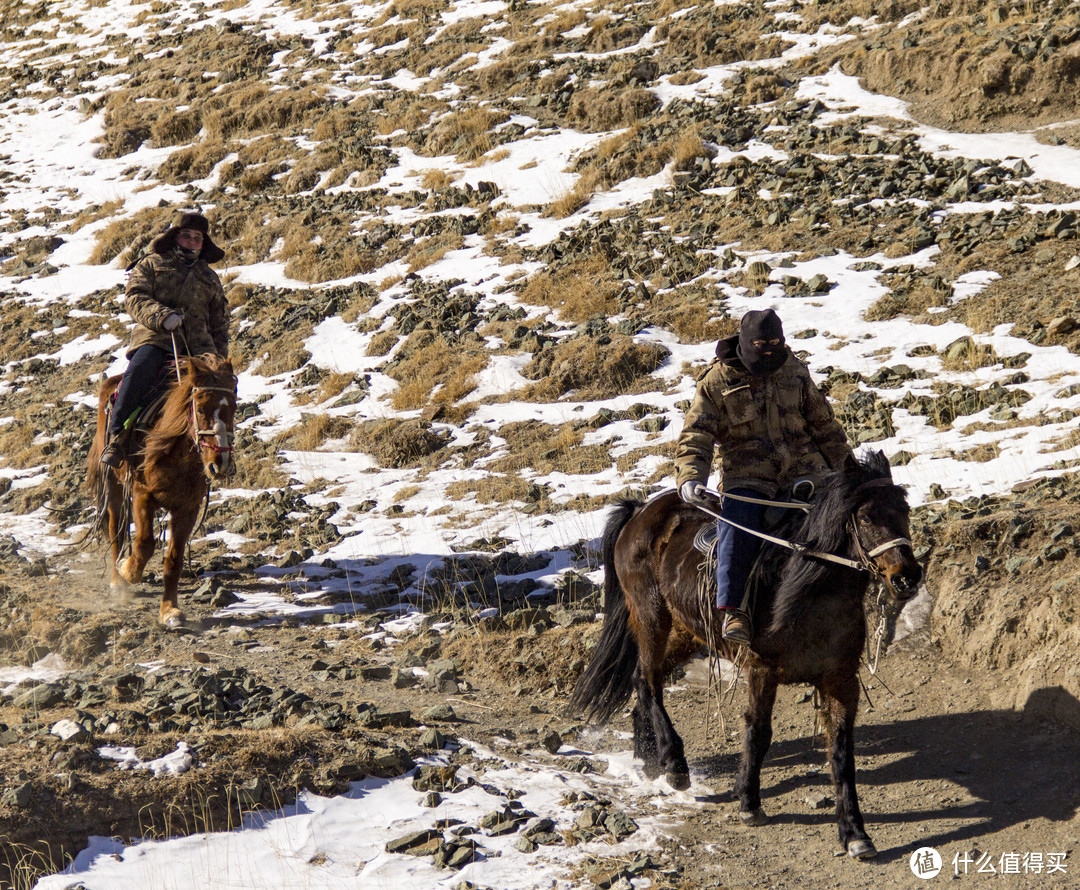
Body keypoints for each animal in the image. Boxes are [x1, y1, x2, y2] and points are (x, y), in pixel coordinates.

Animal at [86, 352, 236, 626]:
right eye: (200, 408)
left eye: (234, 407)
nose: (220, 463)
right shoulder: (142, 496)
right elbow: (145, 543)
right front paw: (128, 571)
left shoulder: (187, 509)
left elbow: (174, 560)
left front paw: (170, 611)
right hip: (113, 484)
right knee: (116, 529)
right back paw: (117, 579)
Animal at [570, 455, 924, 859]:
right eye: (864, 516)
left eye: (904, 510)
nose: (907, 577)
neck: (807, 593)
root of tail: (639, 510)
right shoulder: (762, 671)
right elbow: (758, 733)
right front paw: (749, 803)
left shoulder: (840, 681)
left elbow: (841, 752)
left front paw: (854, 832)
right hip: (650, 616)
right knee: (648, 681)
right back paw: (675, 765)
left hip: (688, 632)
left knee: (643, 681)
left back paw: (648, 757)